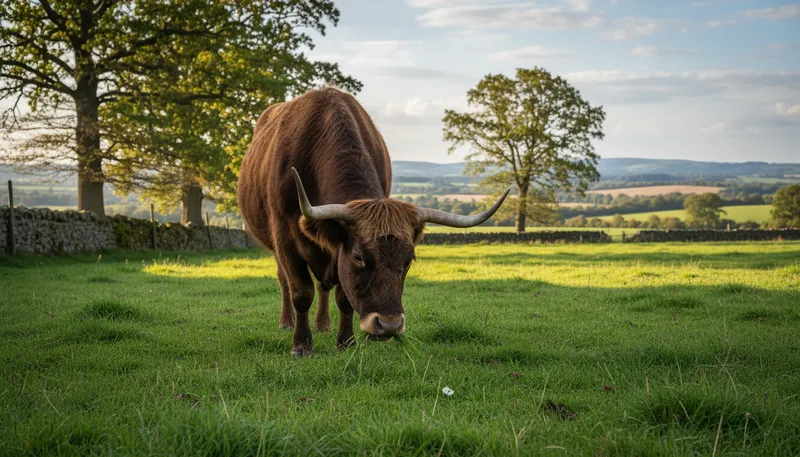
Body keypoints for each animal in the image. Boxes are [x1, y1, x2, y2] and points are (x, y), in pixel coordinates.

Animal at [237, 87, 509, 356]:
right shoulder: (285, 238)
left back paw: (323, 324)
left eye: (409, 260)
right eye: (358, 256)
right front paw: (301, 345)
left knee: (324, 287)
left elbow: (344, 297)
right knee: (285, 281)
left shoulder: (338, 251)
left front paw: (346, 342)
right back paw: (287, 322)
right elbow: (301, 292)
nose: (389, 325)